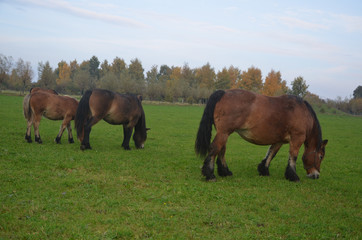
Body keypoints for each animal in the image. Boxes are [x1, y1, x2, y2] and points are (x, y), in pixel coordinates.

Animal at [195, 89, 328, 181]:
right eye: (321, 156)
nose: (316, 175)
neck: (303, 113)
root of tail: (224, 92)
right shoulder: (296, 139)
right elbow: (293, 156)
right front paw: (293, 176)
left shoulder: (279, 140)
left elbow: (271, 154)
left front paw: (264, 170)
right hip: (223, 133)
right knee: (215, 149)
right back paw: (210, 175)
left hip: (224, 133)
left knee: (221, 151)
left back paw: (225, 172)